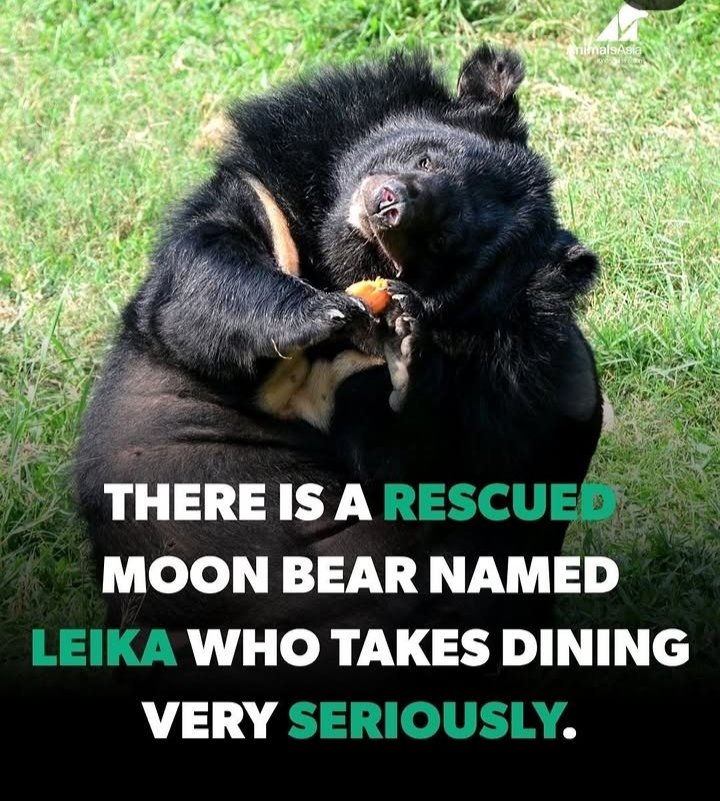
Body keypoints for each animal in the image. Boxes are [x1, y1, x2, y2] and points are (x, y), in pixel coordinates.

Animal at [74, 45, 603, 687]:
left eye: (441, 244)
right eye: (425, 158)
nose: (391, 204)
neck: (330, 260)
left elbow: (405, 456)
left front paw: (407, 346)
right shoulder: (265, 189)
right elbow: (202, 276)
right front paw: (322, 310)